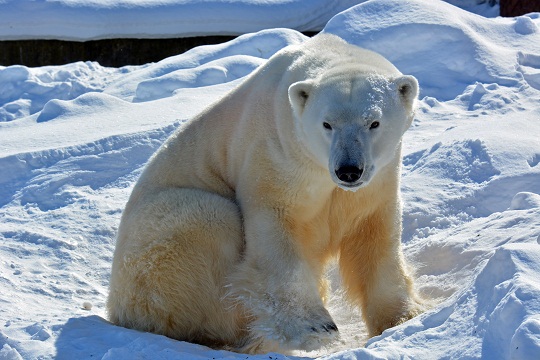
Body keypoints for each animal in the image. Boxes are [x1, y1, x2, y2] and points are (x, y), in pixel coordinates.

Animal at [106, 33, 426, 354]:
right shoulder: (275, 154)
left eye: (374, 122)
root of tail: (116, 306)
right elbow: (276, 230)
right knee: (211, 219)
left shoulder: (378, 177)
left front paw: (403, 317)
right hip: (154, 249)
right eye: (326, 123)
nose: (348, 170)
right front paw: (315, 329)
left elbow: (374, 233)